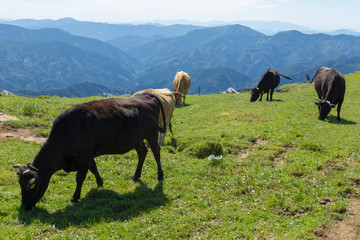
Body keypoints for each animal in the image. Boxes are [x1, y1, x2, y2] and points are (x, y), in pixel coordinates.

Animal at [12, 93, 167, 211]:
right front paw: (100, 183)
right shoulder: (88, 155)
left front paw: (75, 197)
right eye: (19, 184)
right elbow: (94, 169)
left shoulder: (85, 156)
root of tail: (146, 96)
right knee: (142, 152)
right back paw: (135, 176)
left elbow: (80, 177)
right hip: (137, 139)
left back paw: (160, 175)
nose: (24, 206)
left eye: (30, 186)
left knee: (156, 153)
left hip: (152, 134)